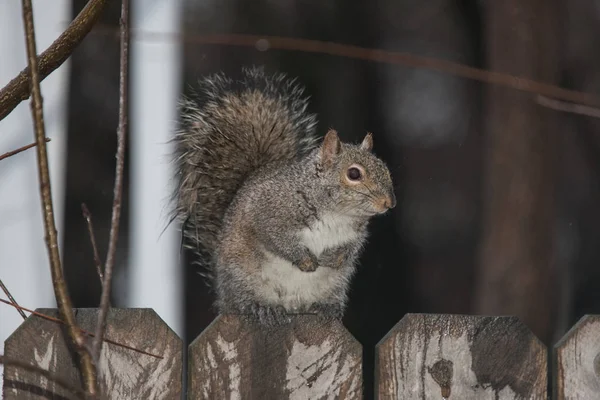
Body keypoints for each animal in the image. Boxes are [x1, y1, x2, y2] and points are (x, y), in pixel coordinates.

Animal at [171, 66, 396, 324]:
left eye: (385, 169)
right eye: (354, 174)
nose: (389, 203)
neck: (339, 214)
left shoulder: (355, 235)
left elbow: (349, 250)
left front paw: (334, 258)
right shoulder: (268, 210)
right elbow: (275, 237)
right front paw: (306, 260)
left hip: (335, 285)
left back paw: (326, 308)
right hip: (241, 274)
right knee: (243, 302)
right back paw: (261, 307)